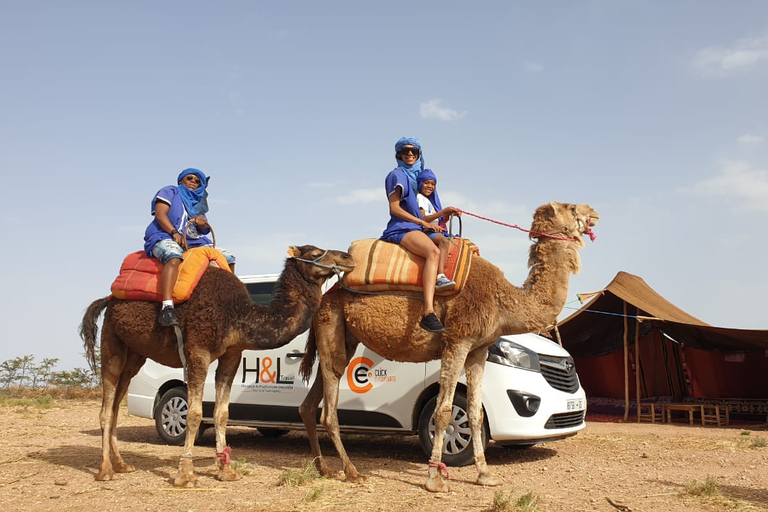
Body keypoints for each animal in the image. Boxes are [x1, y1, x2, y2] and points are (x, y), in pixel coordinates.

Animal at [79, 246, 356, 486]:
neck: (237, 314)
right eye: (314, 252)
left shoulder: (232, 354)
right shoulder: (198, 350)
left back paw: (121, 464)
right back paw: (105, 470)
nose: (347, 257)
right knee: (107, 406)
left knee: (116, 404)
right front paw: (185, 475)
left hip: (135, 354)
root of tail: (108, 298)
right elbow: (194, 413)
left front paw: (226, 471)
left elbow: (222, 412)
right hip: (112, 341)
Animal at [298, 201, 600, 492]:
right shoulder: (457, 341)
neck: (502, 301)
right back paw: (352, 472)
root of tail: (327, 294)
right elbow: (443, 412)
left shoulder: (479, 349)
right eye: (572, 208)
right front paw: (435, 478)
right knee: (329, 408)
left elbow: (476, 413)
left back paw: (323, 468)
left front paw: (485, 475)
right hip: (331, 323)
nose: (594, 213)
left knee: (311, 402)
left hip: (343, 335)